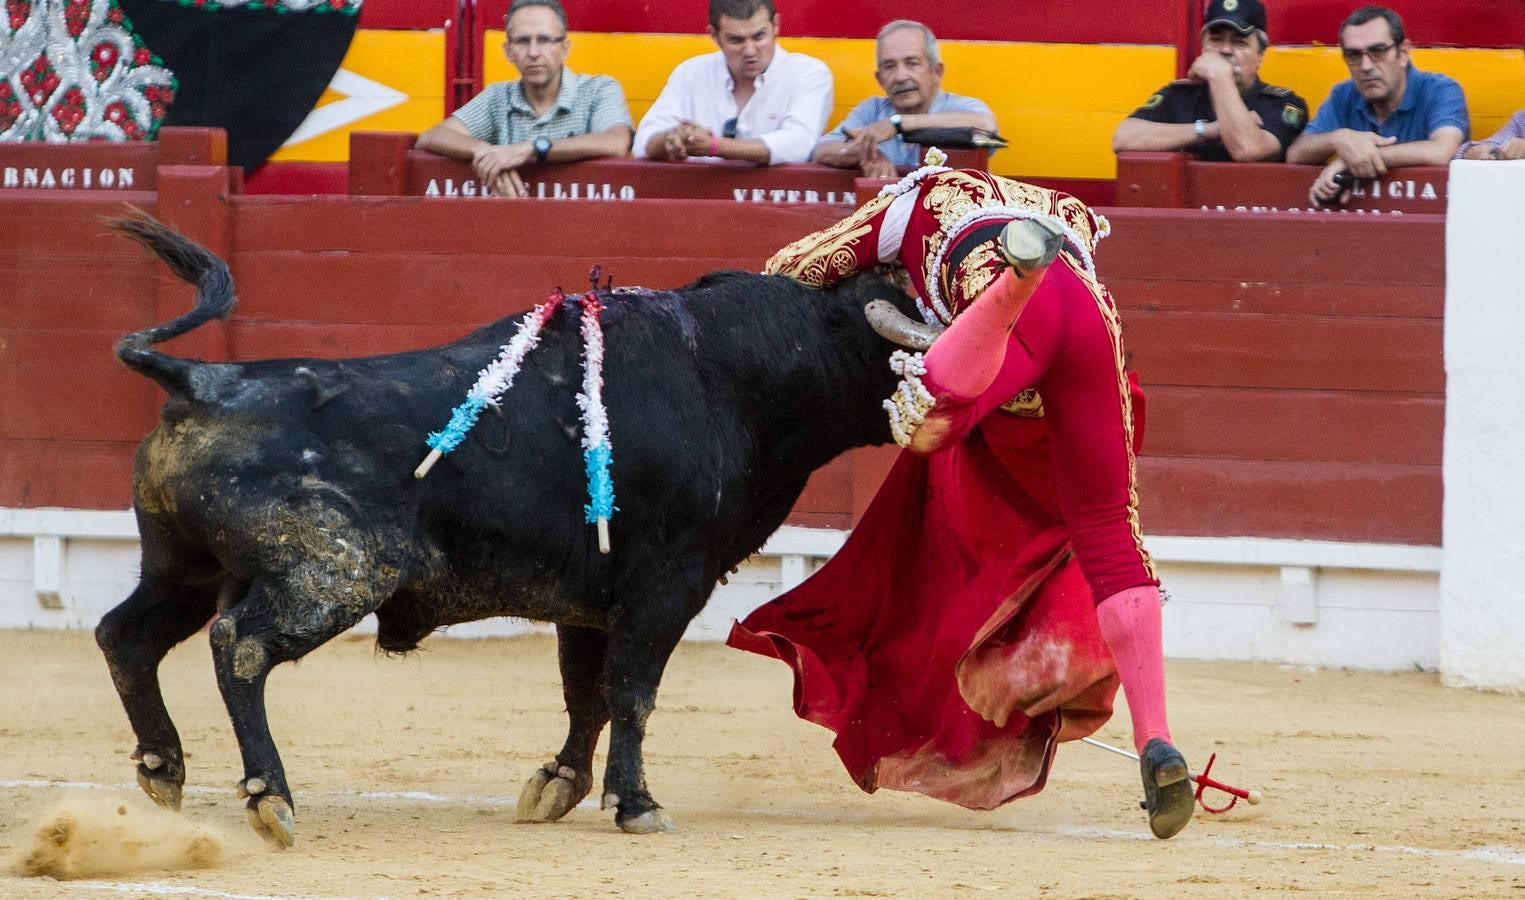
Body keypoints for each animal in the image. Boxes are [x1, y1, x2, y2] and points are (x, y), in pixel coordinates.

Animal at [98, 212, 927, 848]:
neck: (732, 373)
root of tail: (202, 380)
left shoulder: (589, 601)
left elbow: (587, 694)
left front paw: (557, 784)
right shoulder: (666, 585)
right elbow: (631, 691)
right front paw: (637, 806)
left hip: (183, 566)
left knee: (126, 635)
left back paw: (163, 769)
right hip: (334, 573)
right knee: (239, 646)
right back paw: (270, 796)